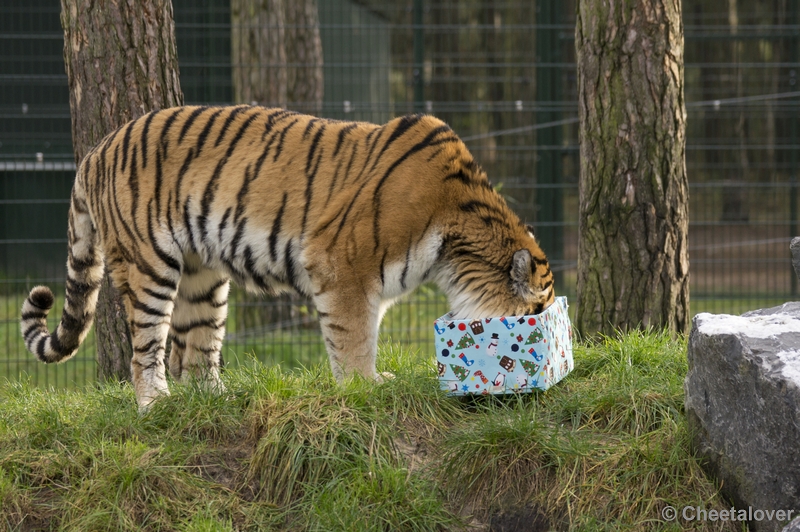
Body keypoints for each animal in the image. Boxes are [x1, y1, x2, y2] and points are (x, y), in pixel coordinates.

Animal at [20, 105, 556, 412]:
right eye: (535, 314)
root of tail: (94, 151)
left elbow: (365, 332)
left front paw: (372, 379)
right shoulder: (342, 265)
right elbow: (354, 336)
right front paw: (364, 388)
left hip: (204, 277)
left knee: (196, 352)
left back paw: (217, 398)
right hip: (148, 264)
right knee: (146, 349)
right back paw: (155, 403)